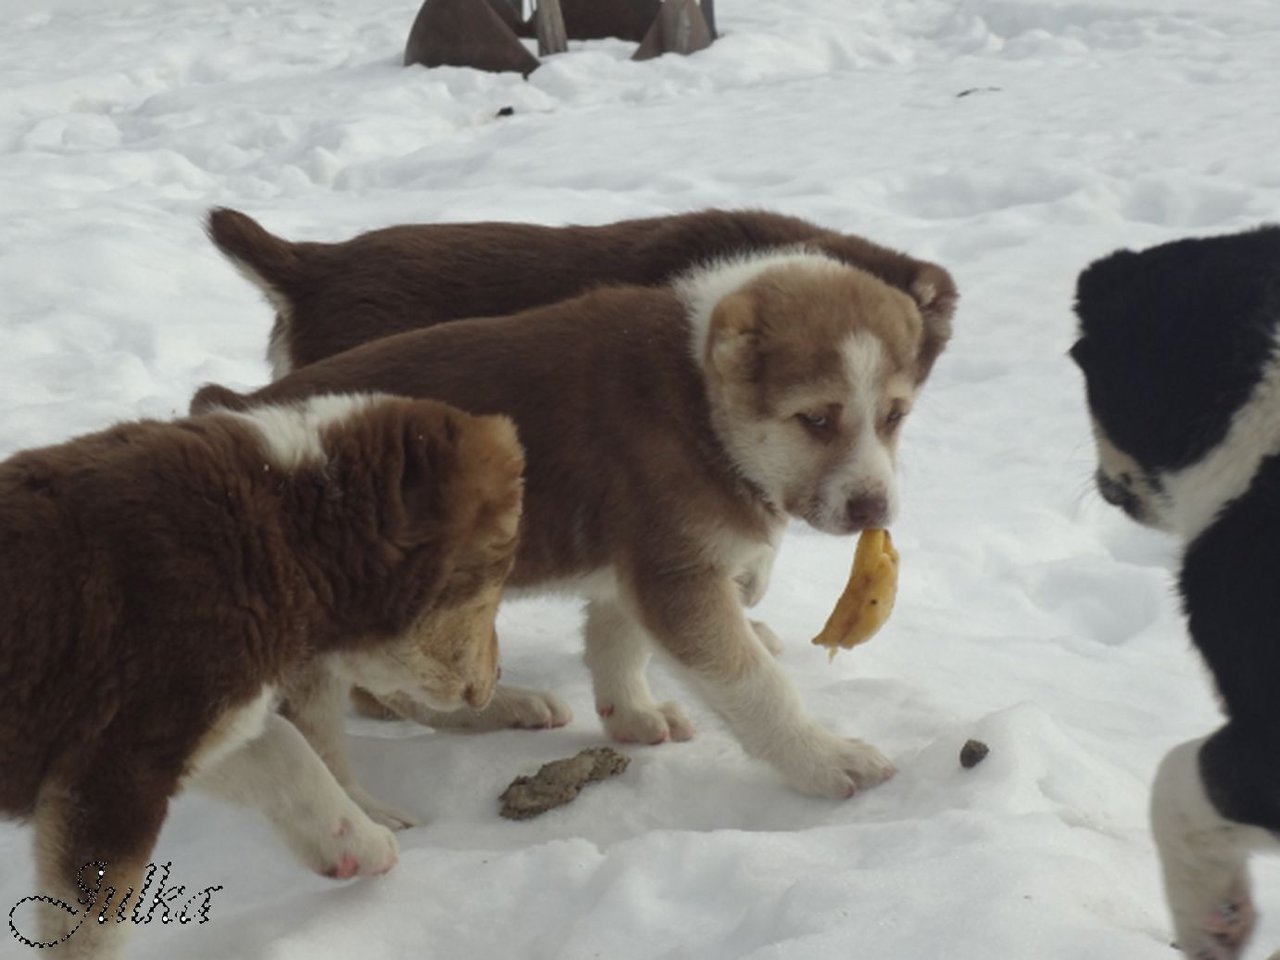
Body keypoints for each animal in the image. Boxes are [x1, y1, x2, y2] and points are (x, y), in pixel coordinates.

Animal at [1, 394, 519, 957]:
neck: (285, 526)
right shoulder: (112, 767)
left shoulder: (195, 726)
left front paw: (364, 842)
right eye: (496, 582)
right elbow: (91, 927)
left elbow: (286, 750)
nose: (497, 676)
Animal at [192, 245, 952, 798]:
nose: (874, 508)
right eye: (816, 419)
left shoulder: (635, 562)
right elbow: (755, 684)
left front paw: (633, 714)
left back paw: (505, 707)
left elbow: (617, 641)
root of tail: (237, 412)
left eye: (895, 415)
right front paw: (827, 760)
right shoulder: (676, 574)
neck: (699, 397)